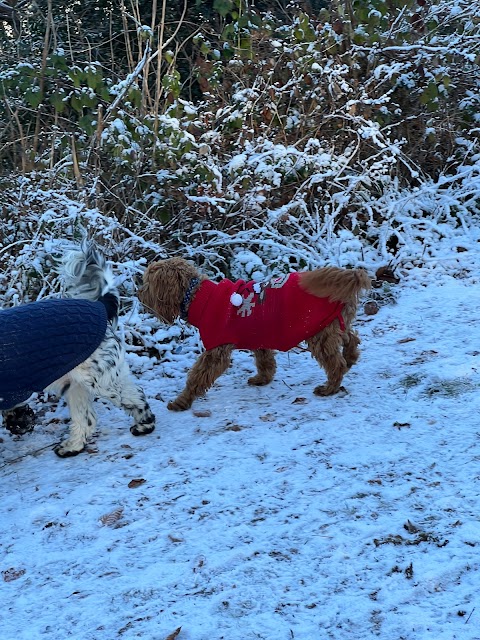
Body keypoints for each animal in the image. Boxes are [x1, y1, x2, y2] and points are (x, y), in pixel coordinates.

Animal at [0, 240, 156, 456]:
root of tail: (99, 306)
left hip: (101, 380)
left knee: (135, 395)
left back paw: (144, 424)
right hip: (75, 385)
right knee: (87, 418)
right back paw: (71, 446)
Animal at [139, 258, 372, 412]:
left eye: (148, 282)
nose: (139, 294)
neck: (198, 297)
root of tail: (345, 275)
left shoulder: (216, 350)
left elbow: (196, 376)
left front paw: (181, 401)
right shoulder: (260, 335)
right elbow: (265, 361)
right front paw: (263, 379)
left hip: (319, 333)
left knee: (336, 363)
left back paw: (329, 387)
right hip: (332, 325)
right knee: (351, 339)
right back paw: (350, 359)